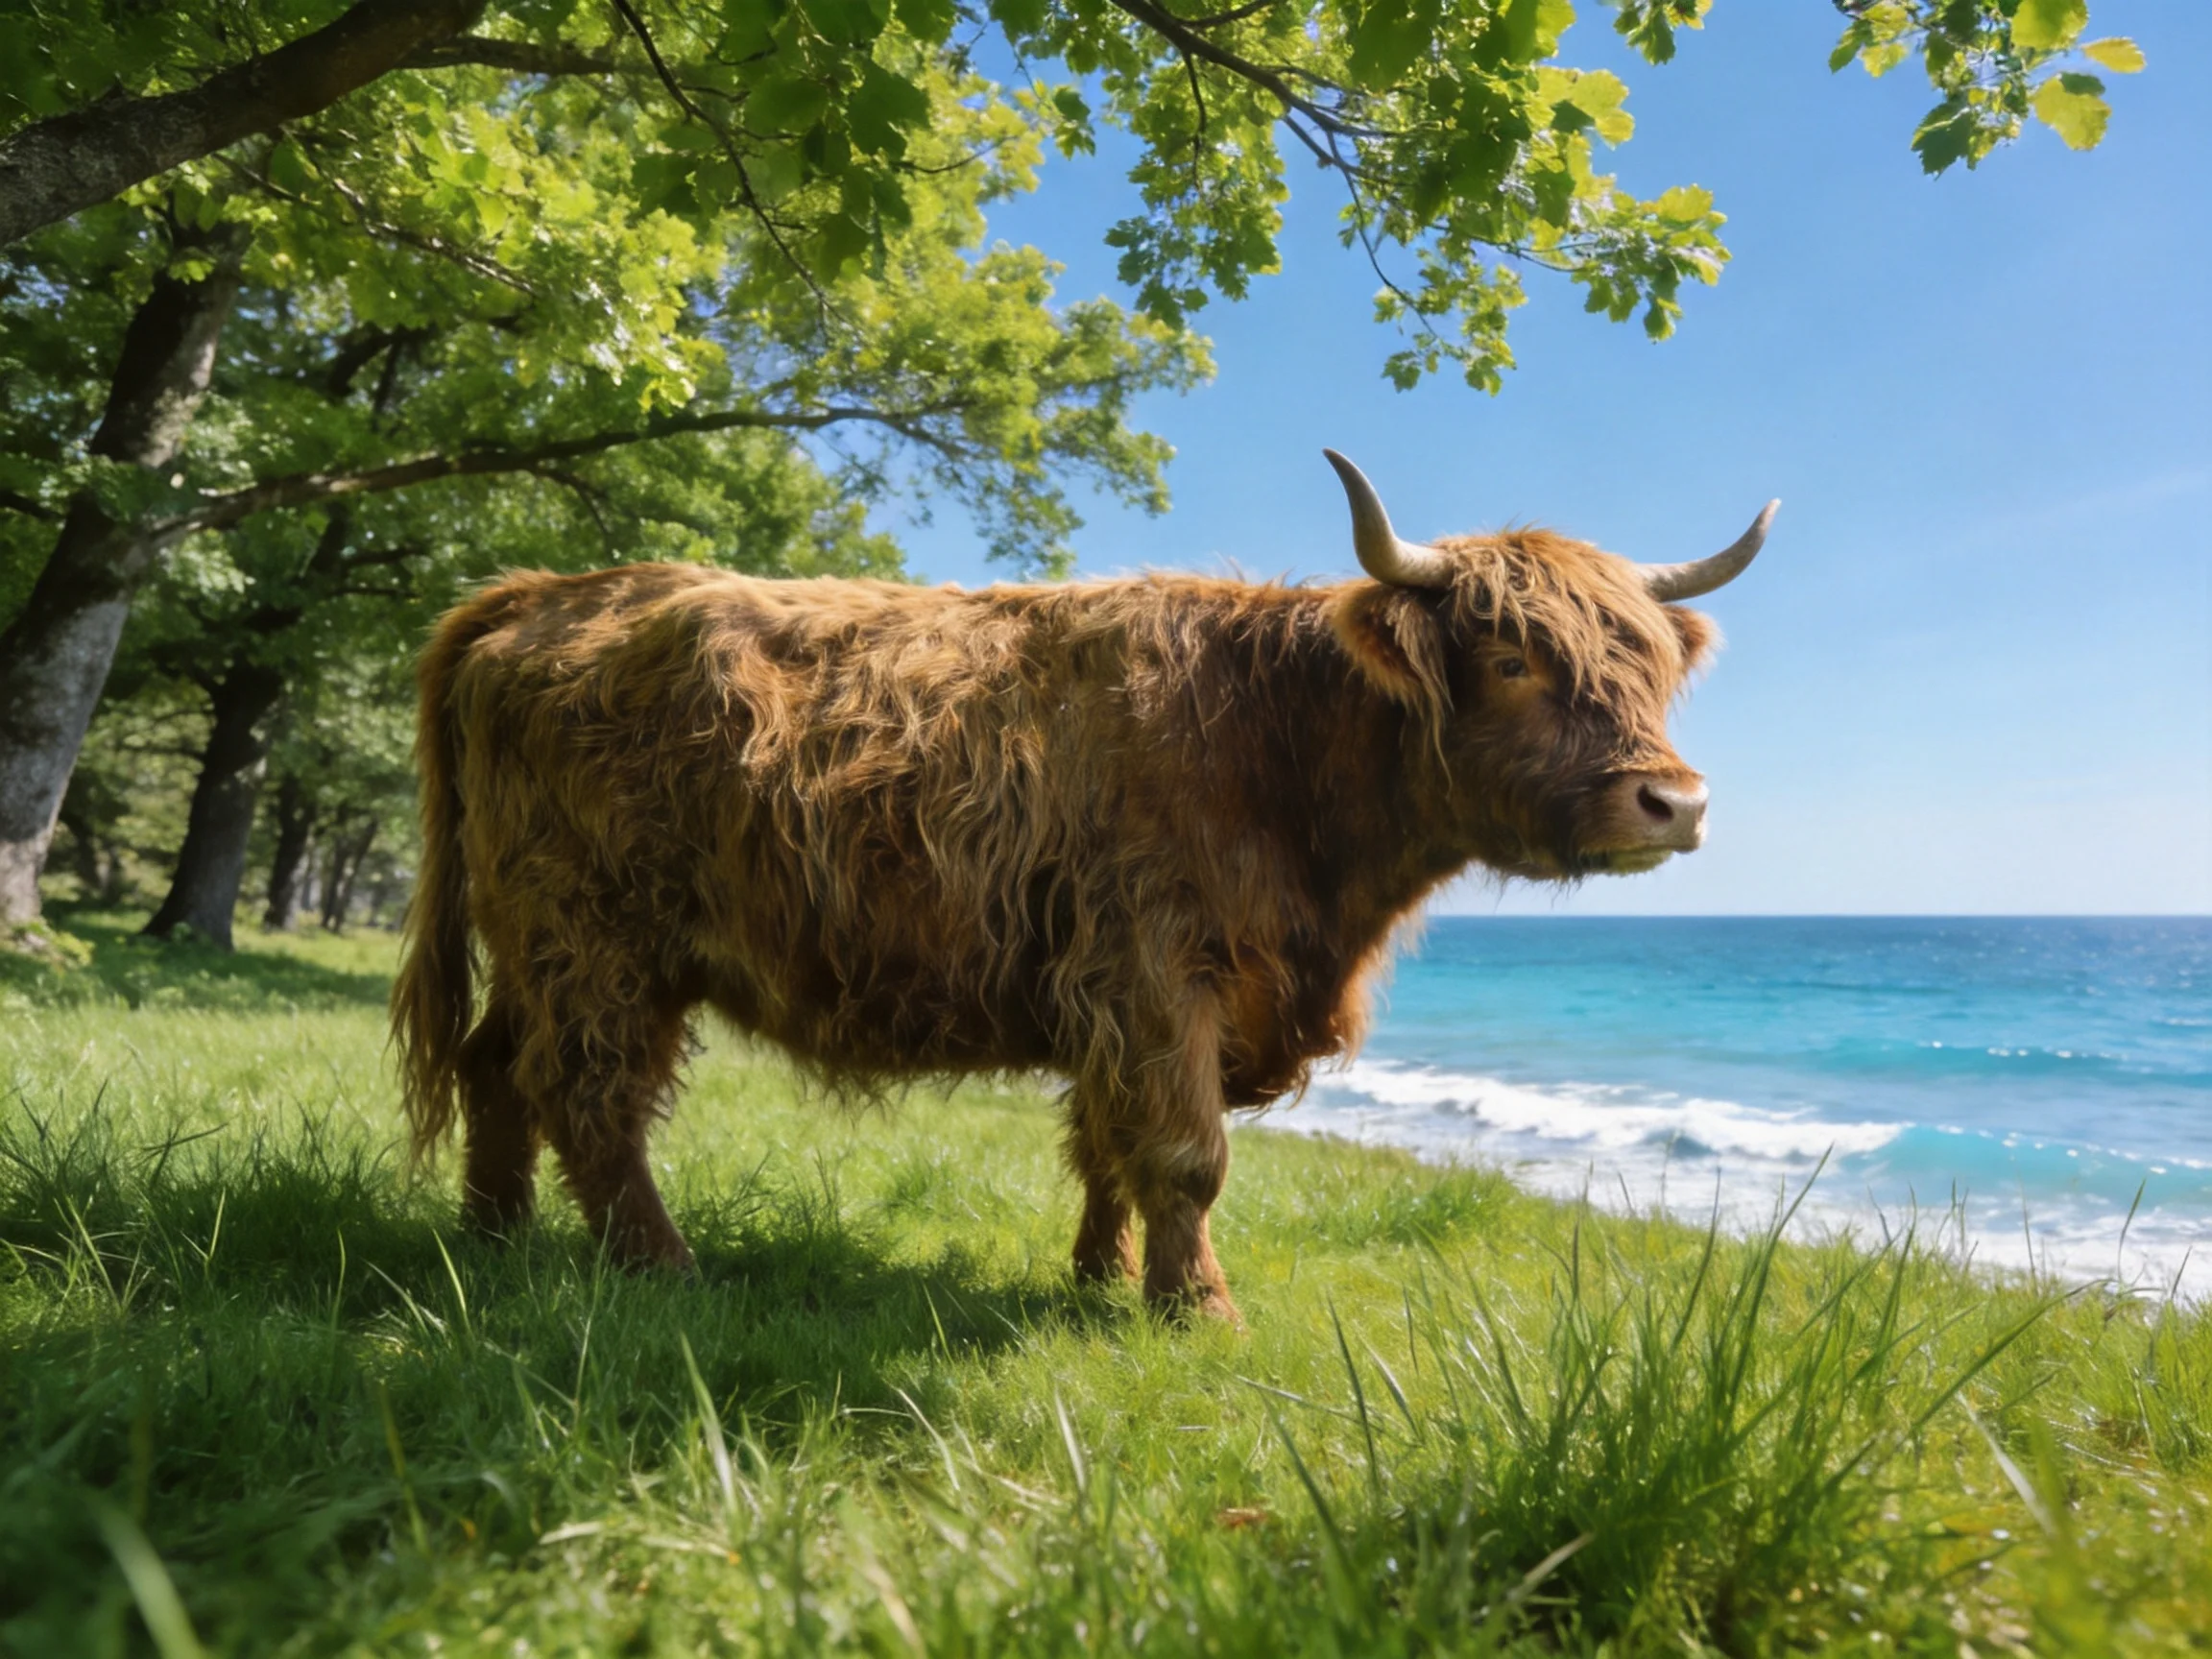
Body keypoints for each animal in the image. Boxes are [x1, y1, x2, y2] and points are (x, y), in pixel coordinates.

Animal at [392, 452, 1776, 1320]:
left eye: (1651, 666)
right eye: (1511, 658)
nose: (1675, 803)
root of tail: (544, 593)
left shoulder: (1127, 996)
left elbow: (1109, 1144)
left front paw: (1101, 1282)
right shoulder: (1156, 967)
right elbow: (1184, 1152)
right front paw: (1196, 1307)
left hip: (544, 939)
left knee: (494, 1064)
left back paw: (494, 1237)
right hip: (597, 936)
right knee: (589, 1095)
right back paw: (659, 1267)